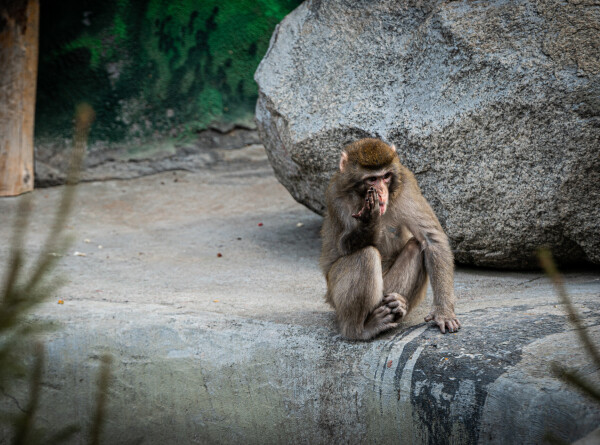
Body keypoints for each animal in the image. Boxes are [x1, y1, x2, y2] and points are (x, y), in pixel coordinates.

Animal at [322, 139, 462, 340]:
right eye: (372, 179)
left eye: (386, 176)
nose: (381, 192)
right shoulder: (336, 195)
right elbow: (343, 246)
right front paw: (369, 221)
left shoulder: (407, 185)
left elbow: (432, 239)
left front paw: (443, 312)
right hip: (335, 295)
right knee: (366, 255)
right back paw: (360, 329)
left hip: (386, 291)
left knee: (415, 247)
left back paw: (398, 305)